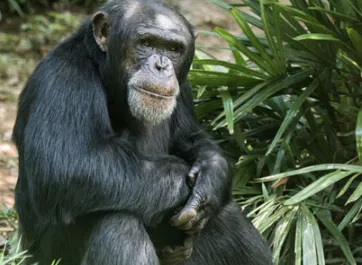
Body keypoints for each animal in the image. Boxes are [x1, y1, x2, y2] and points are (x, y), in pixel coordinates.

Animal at [13, 0, 274, 264]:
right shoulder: (63, 78)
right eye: (146, 43)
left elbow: (189, 137)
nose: (161, 65)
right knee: (117, 221)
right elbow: (66, 165)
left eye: (173, 48)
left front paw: (213, 177)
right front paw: (180, 180)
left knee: (225, 213)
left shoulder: (184, 86)